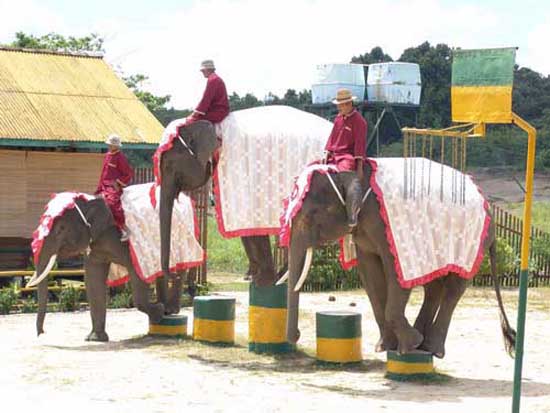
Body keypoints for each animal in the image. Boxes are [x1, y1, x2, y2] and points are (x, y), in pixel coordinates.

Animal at [28, 196, 166, 342]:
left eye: (62, 228)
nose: (42, 333)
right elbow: (93, 278)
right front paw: (95, 339)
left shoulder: (132, 244)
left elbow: (137, 273)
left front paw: (159, 312)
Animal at [284, 162, 516, 358]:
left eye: (311, 214)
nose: (297, 335)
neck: (351, 172)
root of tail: (486, 203)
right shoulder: (363, 230)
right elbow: (370, 275)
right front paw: (386, 347)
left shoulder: (386, 227)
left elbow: (394, 273)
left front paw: (408, 346)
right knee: (433, 286)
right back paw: (423, 344)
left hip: (474, 243)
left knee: (454, 288)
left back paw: (431, 348)